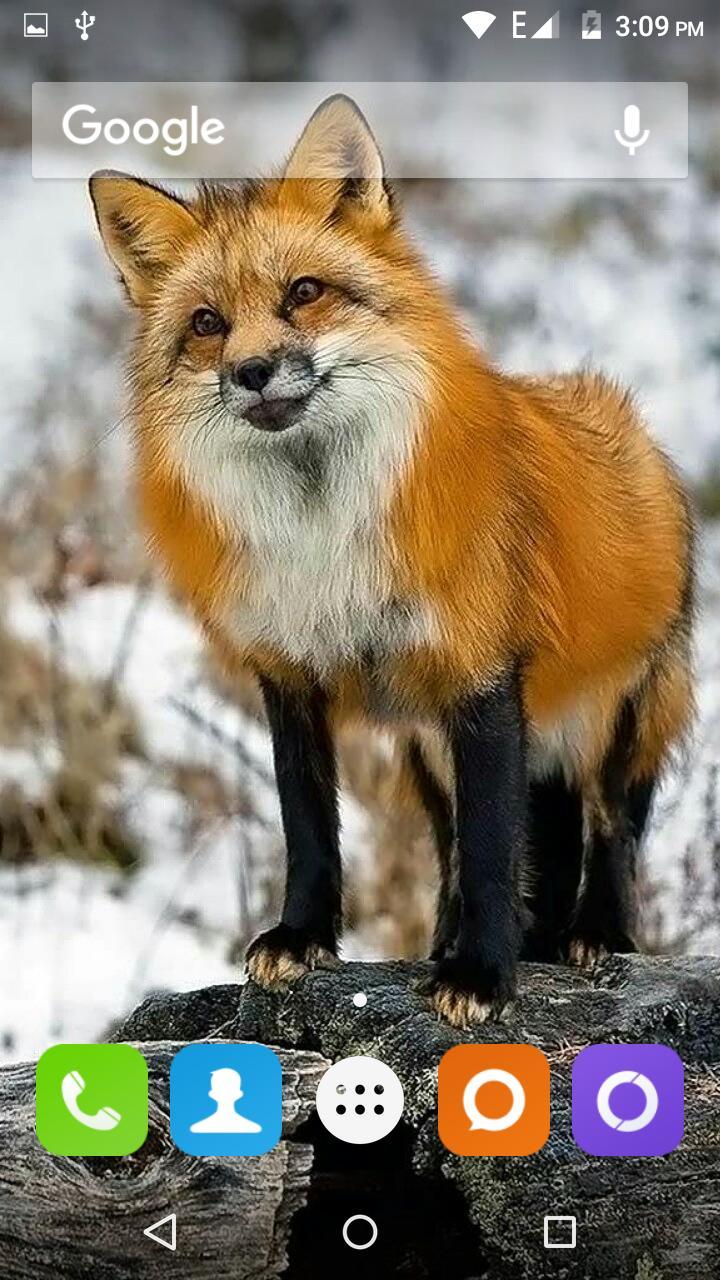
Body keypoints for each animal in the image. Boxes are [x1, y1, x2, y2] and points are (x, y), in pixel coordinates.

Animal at [89, 95, 695, 1027]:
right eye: (207, 324)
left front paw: (481, 976)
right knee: (498, 841)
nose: (252, 370)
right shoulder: (290, 676)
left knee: (610, 828)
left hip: (622, 716)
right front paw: (304, 937)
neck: (322, 535)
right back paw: (481, 941)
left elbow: (491, 849)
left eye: (304, 293)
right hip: (431, 748)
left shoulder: (481, 679)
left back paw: (595, 936)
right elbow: (311, 827)